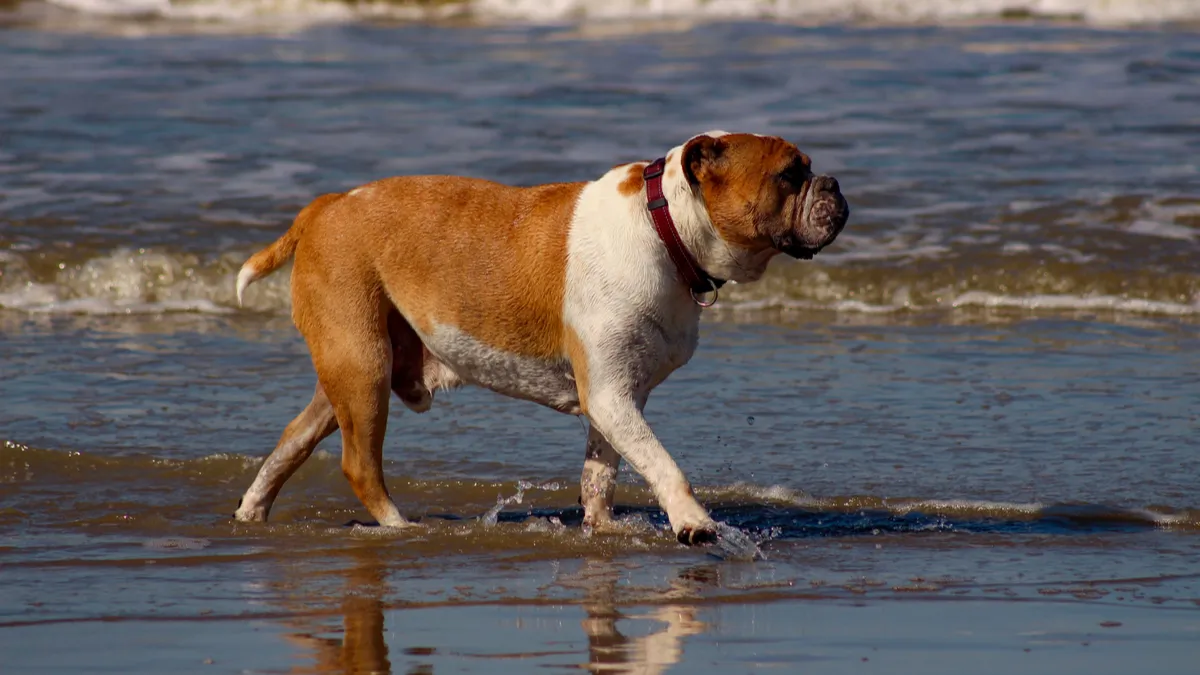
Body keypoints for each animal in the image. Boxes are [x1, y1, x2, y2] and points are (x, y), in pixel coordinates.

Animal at [234, 130, 849, 540]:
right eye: (790, 174)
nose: (834, 183)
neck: (666, 226)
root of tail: (326, 207)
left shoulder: (616, 397)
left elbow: (603, 470)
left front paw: (603, 527)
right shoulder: (611, 395)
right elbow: (663, 463)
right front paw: (693, 522)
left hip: (350, 370)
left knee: (292, 440)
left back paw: (251, 513)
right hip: (362, 366)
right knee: (359, 464)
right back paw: (400, 526)